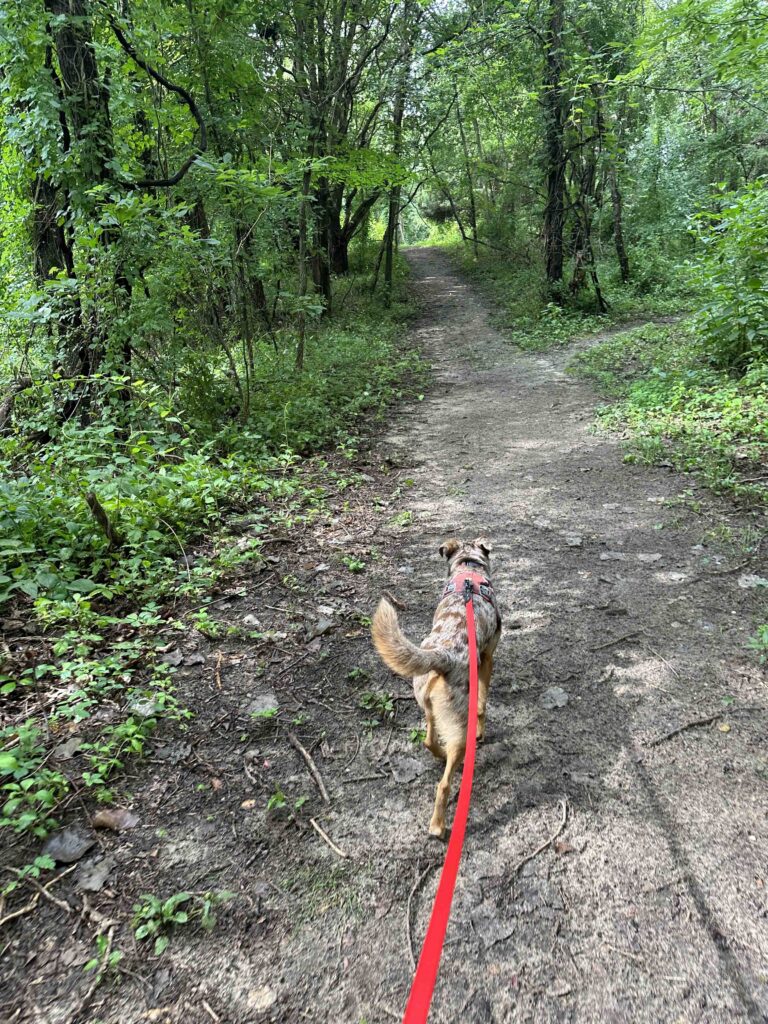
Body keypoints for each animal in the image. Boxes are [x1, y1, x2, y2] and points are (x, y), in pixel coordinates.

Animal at [374, 540, 505, 835]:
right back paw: (438, 826)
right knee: (444, 783)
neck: (468, 569)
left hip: (432, 709)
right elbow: (483, 704)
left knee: (429, 741)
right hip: (460, 726)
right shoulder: (487, 659)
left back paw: (440, 754)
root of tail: (443, 656)